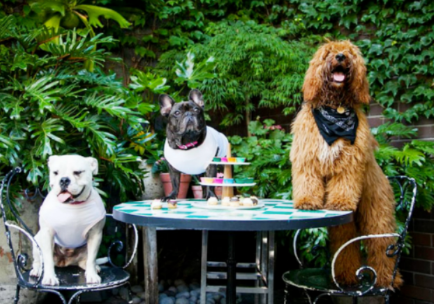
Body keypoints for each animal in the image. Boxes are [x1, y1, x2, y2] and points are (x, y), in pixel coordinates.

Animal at [290, 41, 402, 290]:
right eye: (329, 53)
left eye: (350, 52)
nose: (341, 56)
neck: (336, 108)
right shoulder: (308, 159)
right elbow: (308, 182)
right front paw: (307, 202)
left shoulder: (349, 163)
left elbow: (344, 184)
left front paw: (340, 202)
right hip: (347, 226)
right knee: (346, 247)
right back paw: (346, 276)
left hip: (377, 214)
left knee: (382, 246)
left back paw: (386, 279)